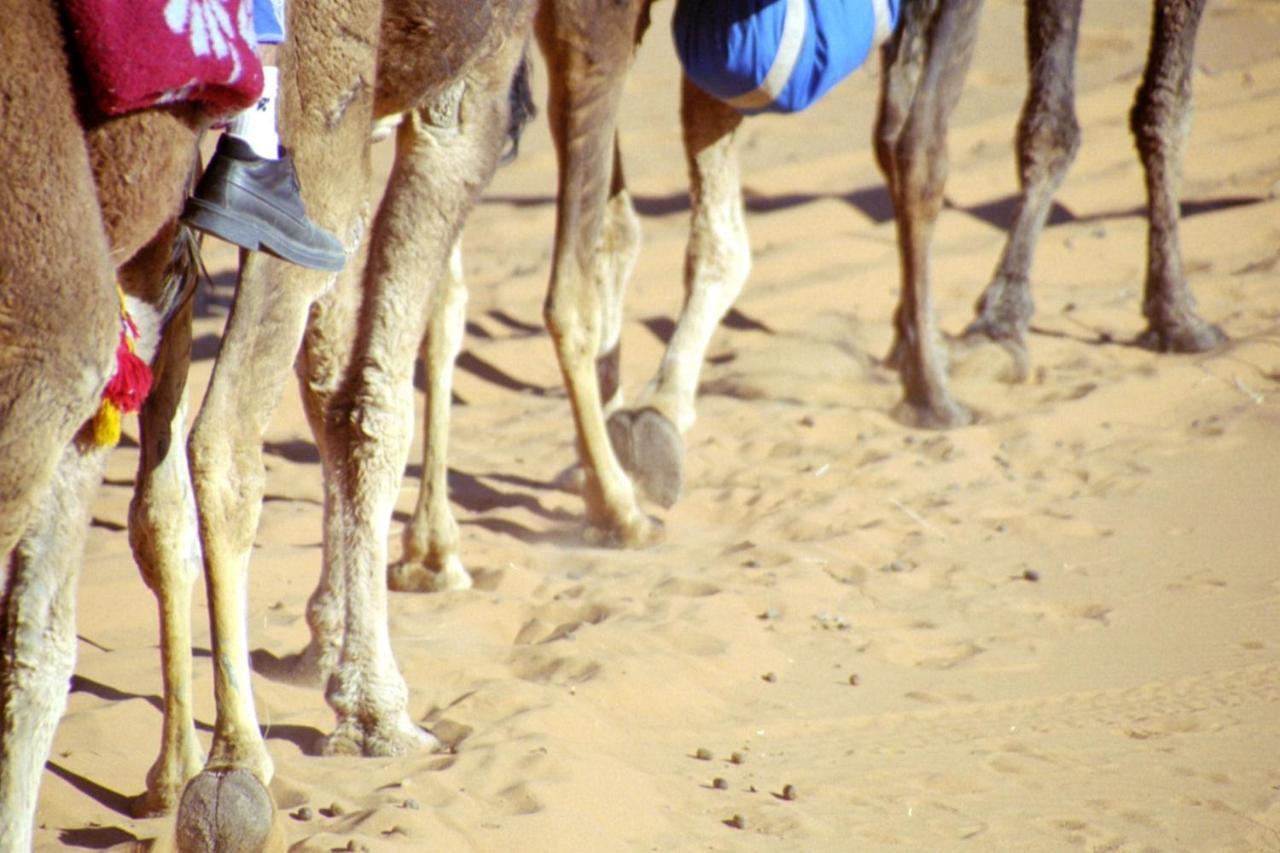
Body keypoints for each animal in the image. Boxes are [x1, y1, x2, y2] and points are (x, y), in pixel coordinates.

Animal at [0, 0, 535, 840]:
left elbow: (328, 391)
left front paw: (328, 646)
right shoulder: (465, 91)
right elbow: (373, 404)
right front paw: (377, 708)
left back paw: (174, 771)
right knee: (220, 435)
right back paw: (235, 766)